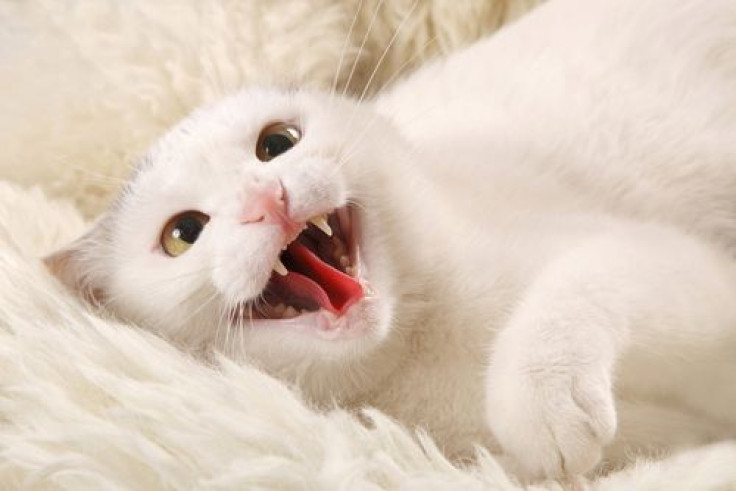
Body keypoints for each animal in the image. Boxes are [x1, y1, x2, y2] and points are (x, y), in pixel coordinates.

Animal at [47, 0, 736, 484]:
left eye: (276, 143)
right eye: (183, 234)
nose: (265, 198)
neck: (429, 353)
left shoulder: (679, 269)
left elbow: (588, 278)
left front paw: (541, 398)